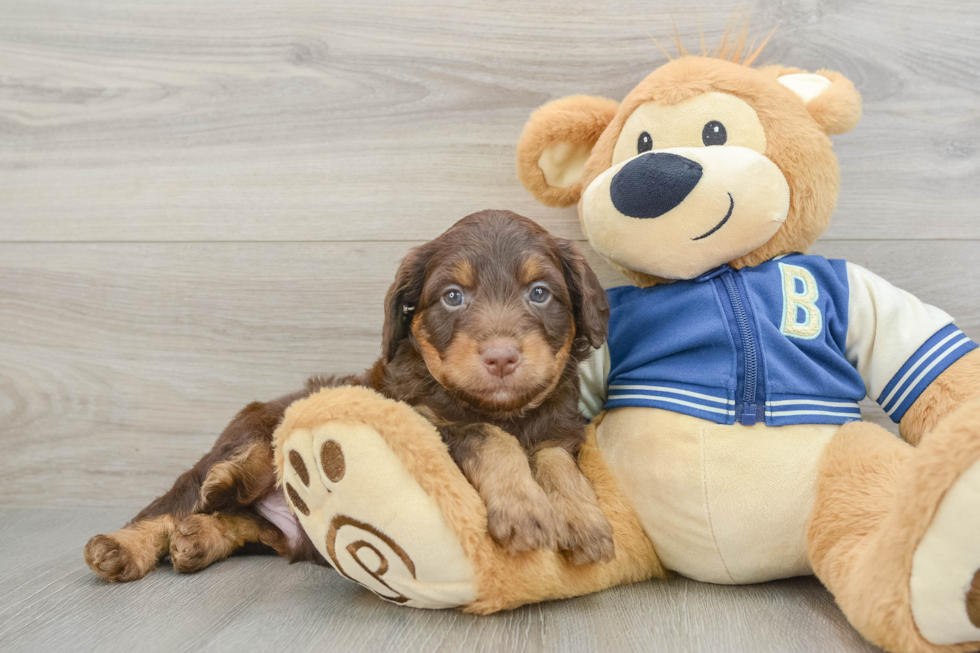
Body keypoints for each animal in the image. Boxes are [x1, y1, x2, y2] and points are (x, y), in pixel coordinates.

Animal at [84, 209, 612, 580]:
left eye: (539, 293)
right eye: (452, 297)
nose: (501, 358)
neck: (506, 410)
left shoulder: (565, 428)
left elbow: (553, 457)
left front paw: (583, 521)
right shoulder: (422, 423)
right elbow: (489, 436)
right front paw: (525, 510)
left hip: (279, 529)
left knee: (240, 521)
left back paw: (198, 539)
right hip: (249, 431)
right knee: (176, 500)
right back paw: (129, 541)